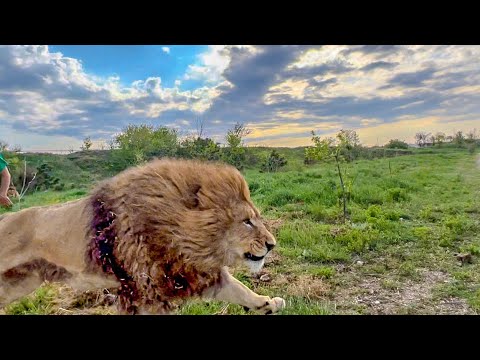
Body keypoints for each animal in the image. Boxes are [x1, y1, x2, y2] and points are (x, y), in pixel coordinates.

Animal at [0, 159, 284, 314]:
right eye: (246, 222)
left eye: (256, 218)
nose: (272, 245)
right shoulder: (146, 291)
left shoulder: (193, 275)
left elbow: (241, 289)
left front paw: (267, 303)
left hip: (21, 283)